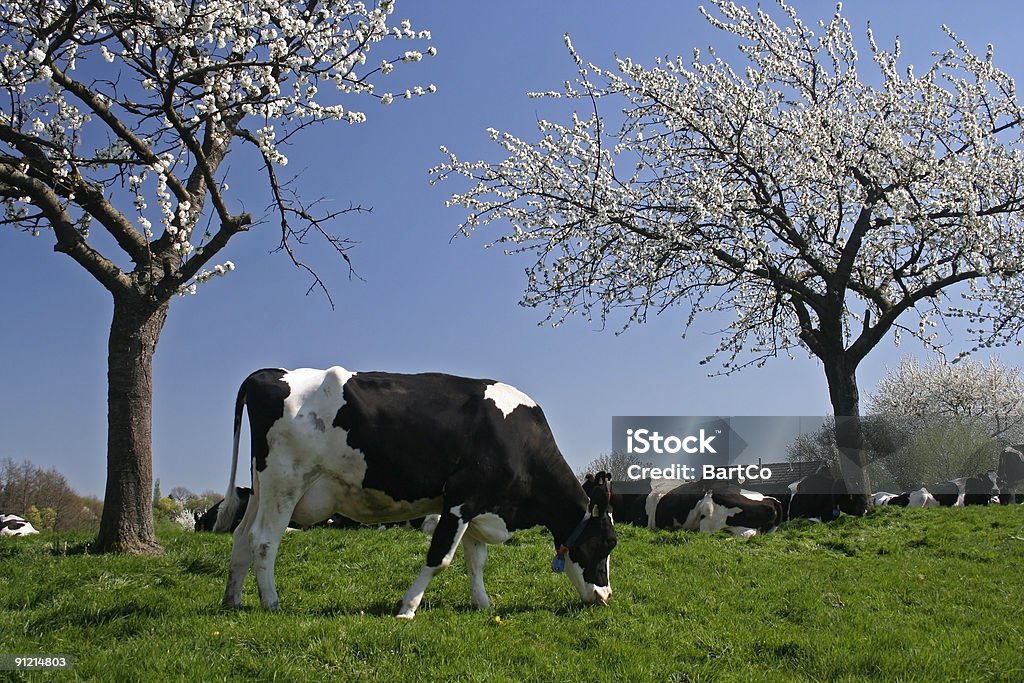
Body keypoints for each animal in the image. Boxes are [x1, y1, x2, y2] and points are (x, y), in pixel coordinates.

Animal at [216, 368, 614, 618]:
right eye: (606, 544)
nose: (606, 596)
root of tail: (270, 373)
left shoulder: (478, 506)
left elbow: (476, 559)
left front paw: (482, 604)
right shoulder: (461, 498)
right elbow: (440, 559)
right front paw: (407, 608)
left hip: (261, 487)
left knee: (241, 537)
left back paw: (232, 600)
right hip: (285, 482)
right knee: (264, 540)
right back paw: (272, 604)